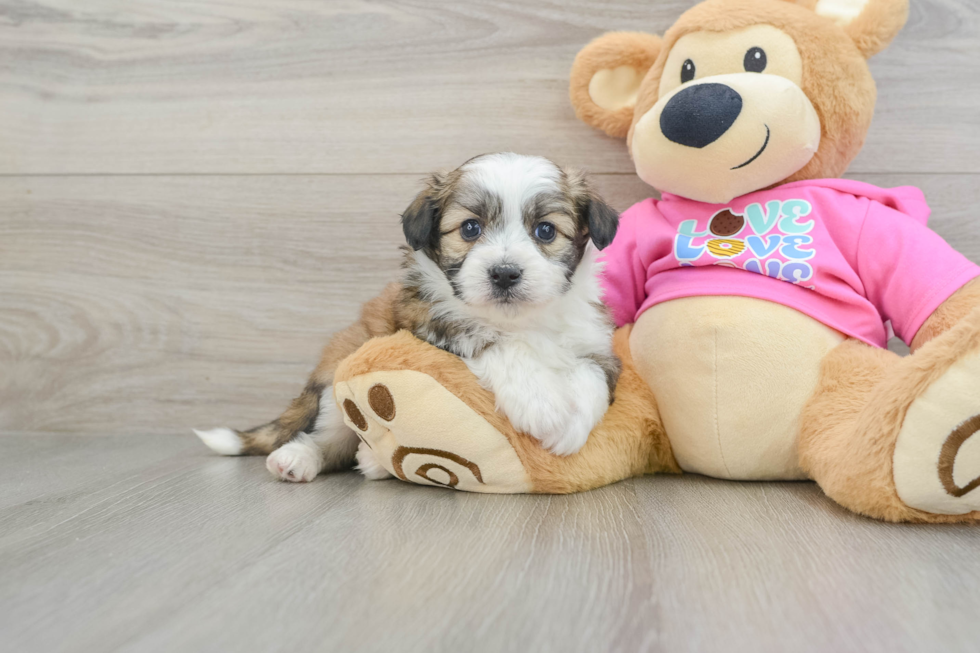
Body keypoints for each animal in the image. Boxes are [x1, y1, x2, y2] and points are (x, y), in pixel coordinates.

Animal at [195, 152, 620, 478]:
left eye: (546, 231)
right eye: (470, 228)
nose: (504, 273)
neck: (520, 320)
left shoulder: (596, 342)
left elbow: (592, 376)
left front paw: (571, 427)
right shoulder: (432, 320)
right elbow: (497, 343)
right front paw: (543, 406)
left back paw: (371, 461)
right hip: (338, 378)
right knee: (332, 438)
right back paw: (301, 457)